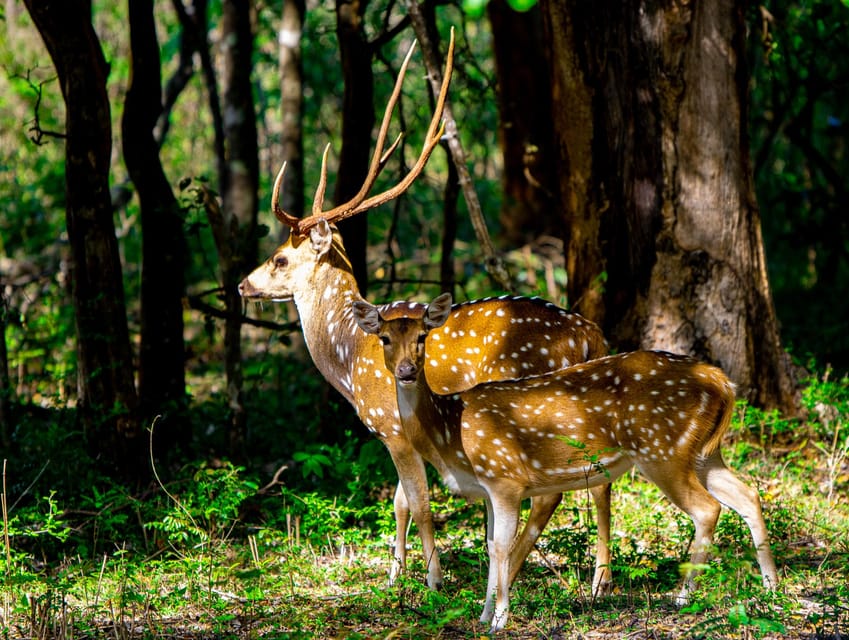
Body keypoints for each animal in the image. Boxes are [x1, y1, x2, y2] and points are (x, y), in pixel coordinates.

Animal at [235, 33, 612, 596]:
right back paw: (594, 578)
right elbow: (397, 502)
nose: (243, 284)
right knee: (598, 478)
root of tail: (589, 334)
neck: (348, 358)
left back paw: (528, 572)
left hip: (533, 404)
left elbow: (419, 501)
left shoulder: (390, 425)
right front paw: (395, 573)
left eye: (280, 258)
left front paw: (432, 580)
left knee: (553, 490)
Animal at [352, 292, 780, 632]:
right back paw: (772, 586)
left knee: (707, 508)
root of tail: (721, 382)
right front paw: (483, 613)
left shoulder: (505, 477)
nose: (406, 371)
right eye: (385, 338)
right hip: (703, 450)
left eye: (423, 337)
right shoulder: (487, 487)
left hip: (661, 449)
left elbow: (501, 547)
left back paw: (683, 595)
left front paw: (499, 619)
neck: (449, 431)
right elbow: (490, 546)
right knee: (747, 494)